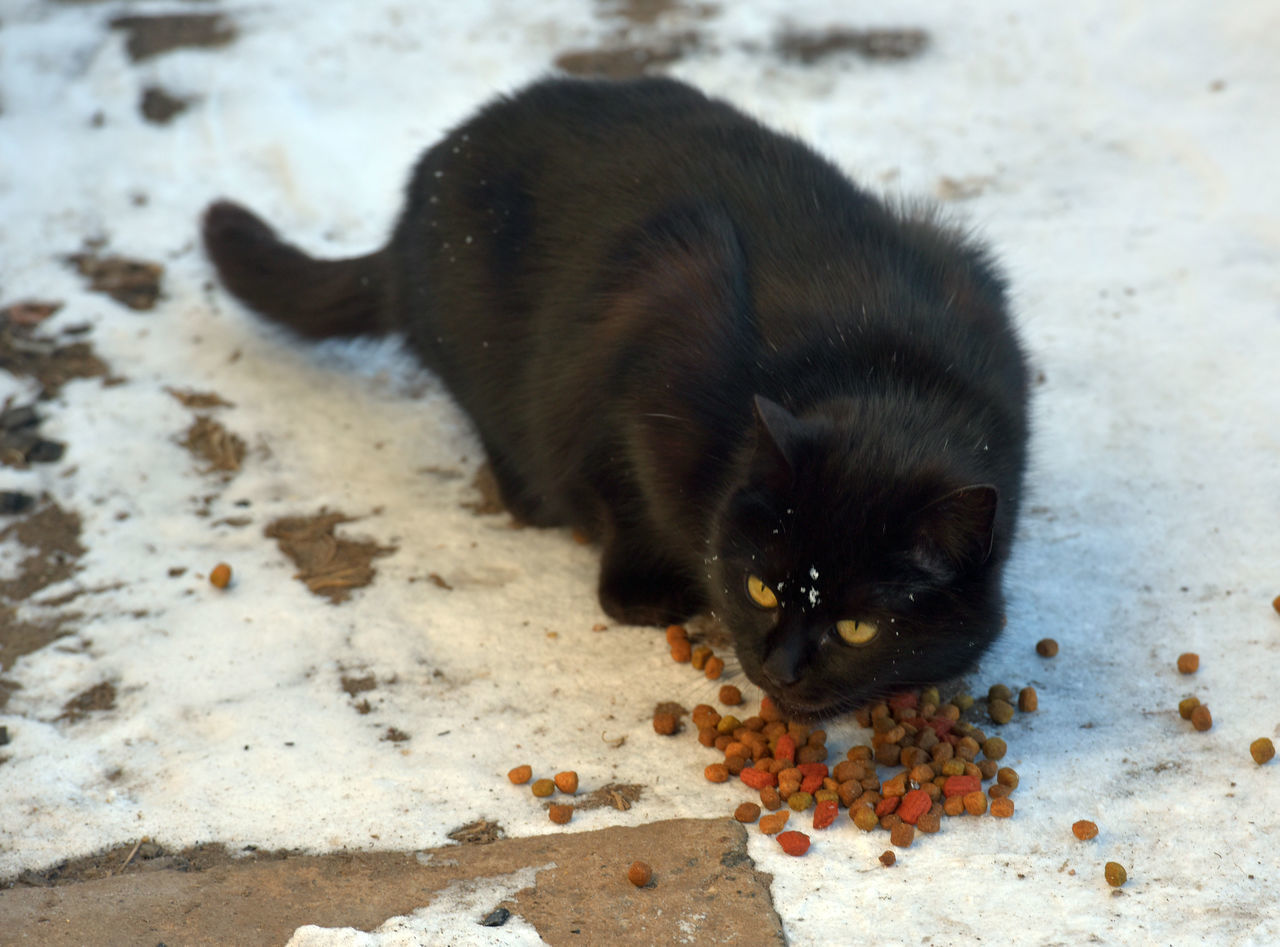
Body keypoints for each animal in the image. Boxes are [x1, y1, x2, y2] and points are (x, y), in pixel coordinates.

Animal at [207, 75, 1029, 716]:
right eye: (762, 588)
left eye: (859, 628)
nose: (780, 668)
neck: (887, 370)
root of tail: (415, 204)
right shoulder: (649, 340)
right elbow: (628, 491)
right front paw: (640, 593)